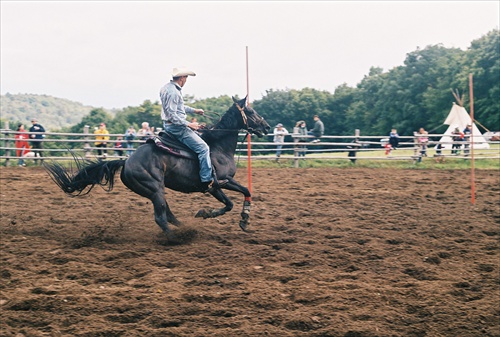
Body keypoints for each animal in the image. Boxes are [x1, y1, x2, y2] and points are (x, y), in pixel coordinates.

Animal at [44, 97, 270, 232]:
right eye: (250, 111)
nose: (267, 127)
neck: (217, 146)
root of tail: (126, 161)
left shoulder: (216, 186)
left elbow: (236, 199)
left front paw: (216, 215)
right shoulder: (220, 182)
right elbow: (239, 195)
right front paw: (240, 218)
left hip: (155, 191)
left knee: (167, 214)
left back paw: (181, 228)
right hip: (154, 189)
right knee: (160, 218)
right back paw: (176, 237)